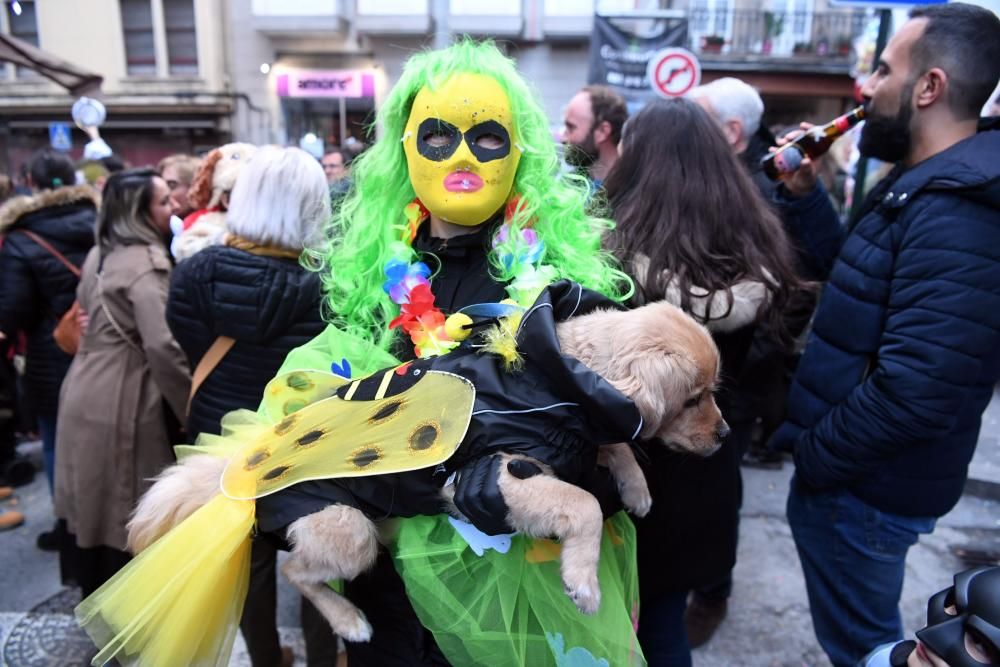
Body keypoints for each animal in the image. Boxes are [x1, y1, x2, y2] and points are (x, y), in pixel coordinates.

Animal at [131, 300, 728, 640]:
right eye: (693, 400)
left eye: (709, 394)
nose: (725, 436)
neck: (560, 379)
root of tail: (244, 475)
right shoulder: (503, 474)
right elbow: (582, 504)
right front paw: (582, 580)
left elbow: (614, 446)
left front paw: (637, 487)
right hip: (348, 532)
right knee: (297, 572)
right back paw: (349, 621)